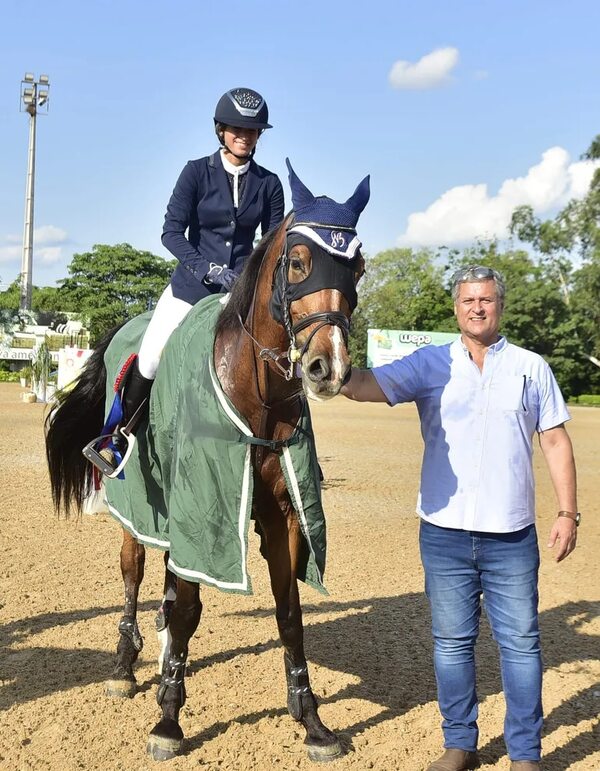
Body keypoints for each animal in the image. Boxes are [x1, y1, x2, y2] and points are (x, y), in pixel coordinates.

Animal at [44, 160, 368, 764]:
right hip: (137, 507)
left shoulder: (282, 514)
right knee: (134, 570)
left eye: (356, 267)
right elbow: (188, 609)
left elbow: (290, 614)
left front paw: (311, 721)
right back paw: (124, 666)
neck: (256, 394)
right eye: (297, 262)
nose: (327, 368)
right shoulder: (201, 508)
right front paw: (169, 720)